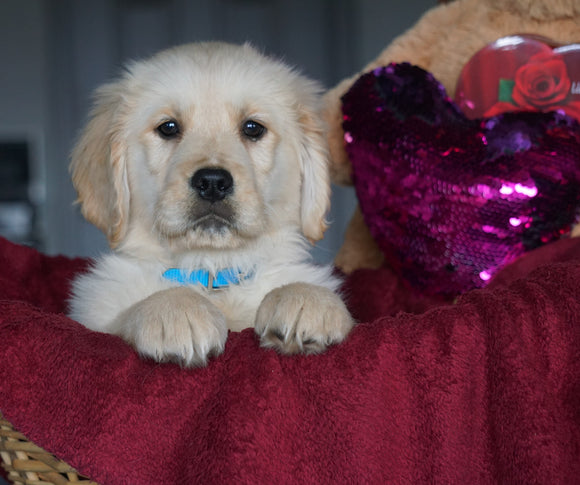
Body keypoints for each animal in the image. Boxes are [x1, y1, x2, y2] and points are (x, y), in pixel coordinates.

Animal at [70, 42, 356, 366]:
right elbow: (119, 321)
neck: (212, 272)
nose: (212, 183)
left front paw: (305, 298)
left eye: (252, 128)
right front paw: (176, 309)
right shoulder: (95, 314)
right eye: (168, 127)